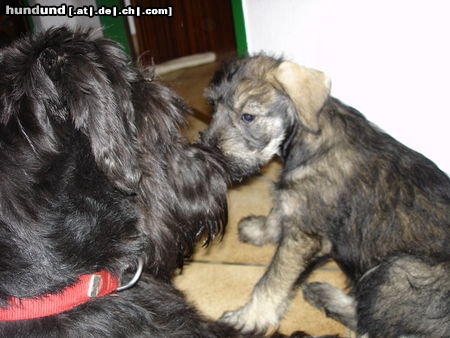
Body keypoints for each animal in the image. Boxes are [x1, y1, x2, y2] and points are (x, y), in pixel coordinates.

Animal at [201, 54, 450, 336]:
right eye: (212, 107)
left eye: (248, 116)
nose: (207, 156)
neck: (308, 139)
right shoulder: (297, 203)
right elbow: (279, 209)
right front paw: (259, 229)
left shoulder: (305, 238)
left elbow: (273, 280)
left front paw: (249, 317)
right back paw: (322, 292)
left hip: (398, 271)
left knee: (371, 323)